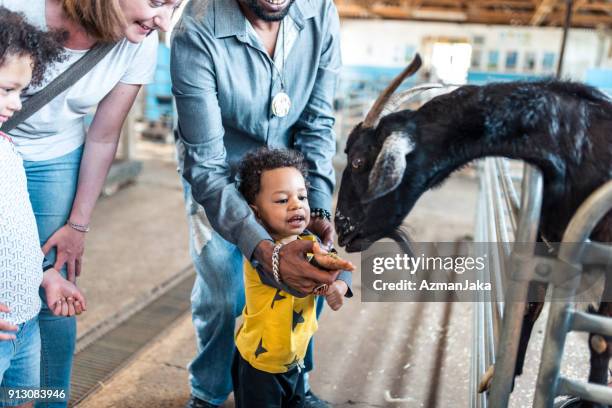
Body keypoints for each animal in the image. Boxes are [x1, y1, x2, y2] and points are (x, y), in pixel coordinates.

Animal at [334, 54, 612, 404]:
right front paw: (499, 377)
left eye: (358, 161)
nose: (340, 227)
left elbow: (600, 339)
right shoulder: (545, 237)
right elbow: (530, 304)